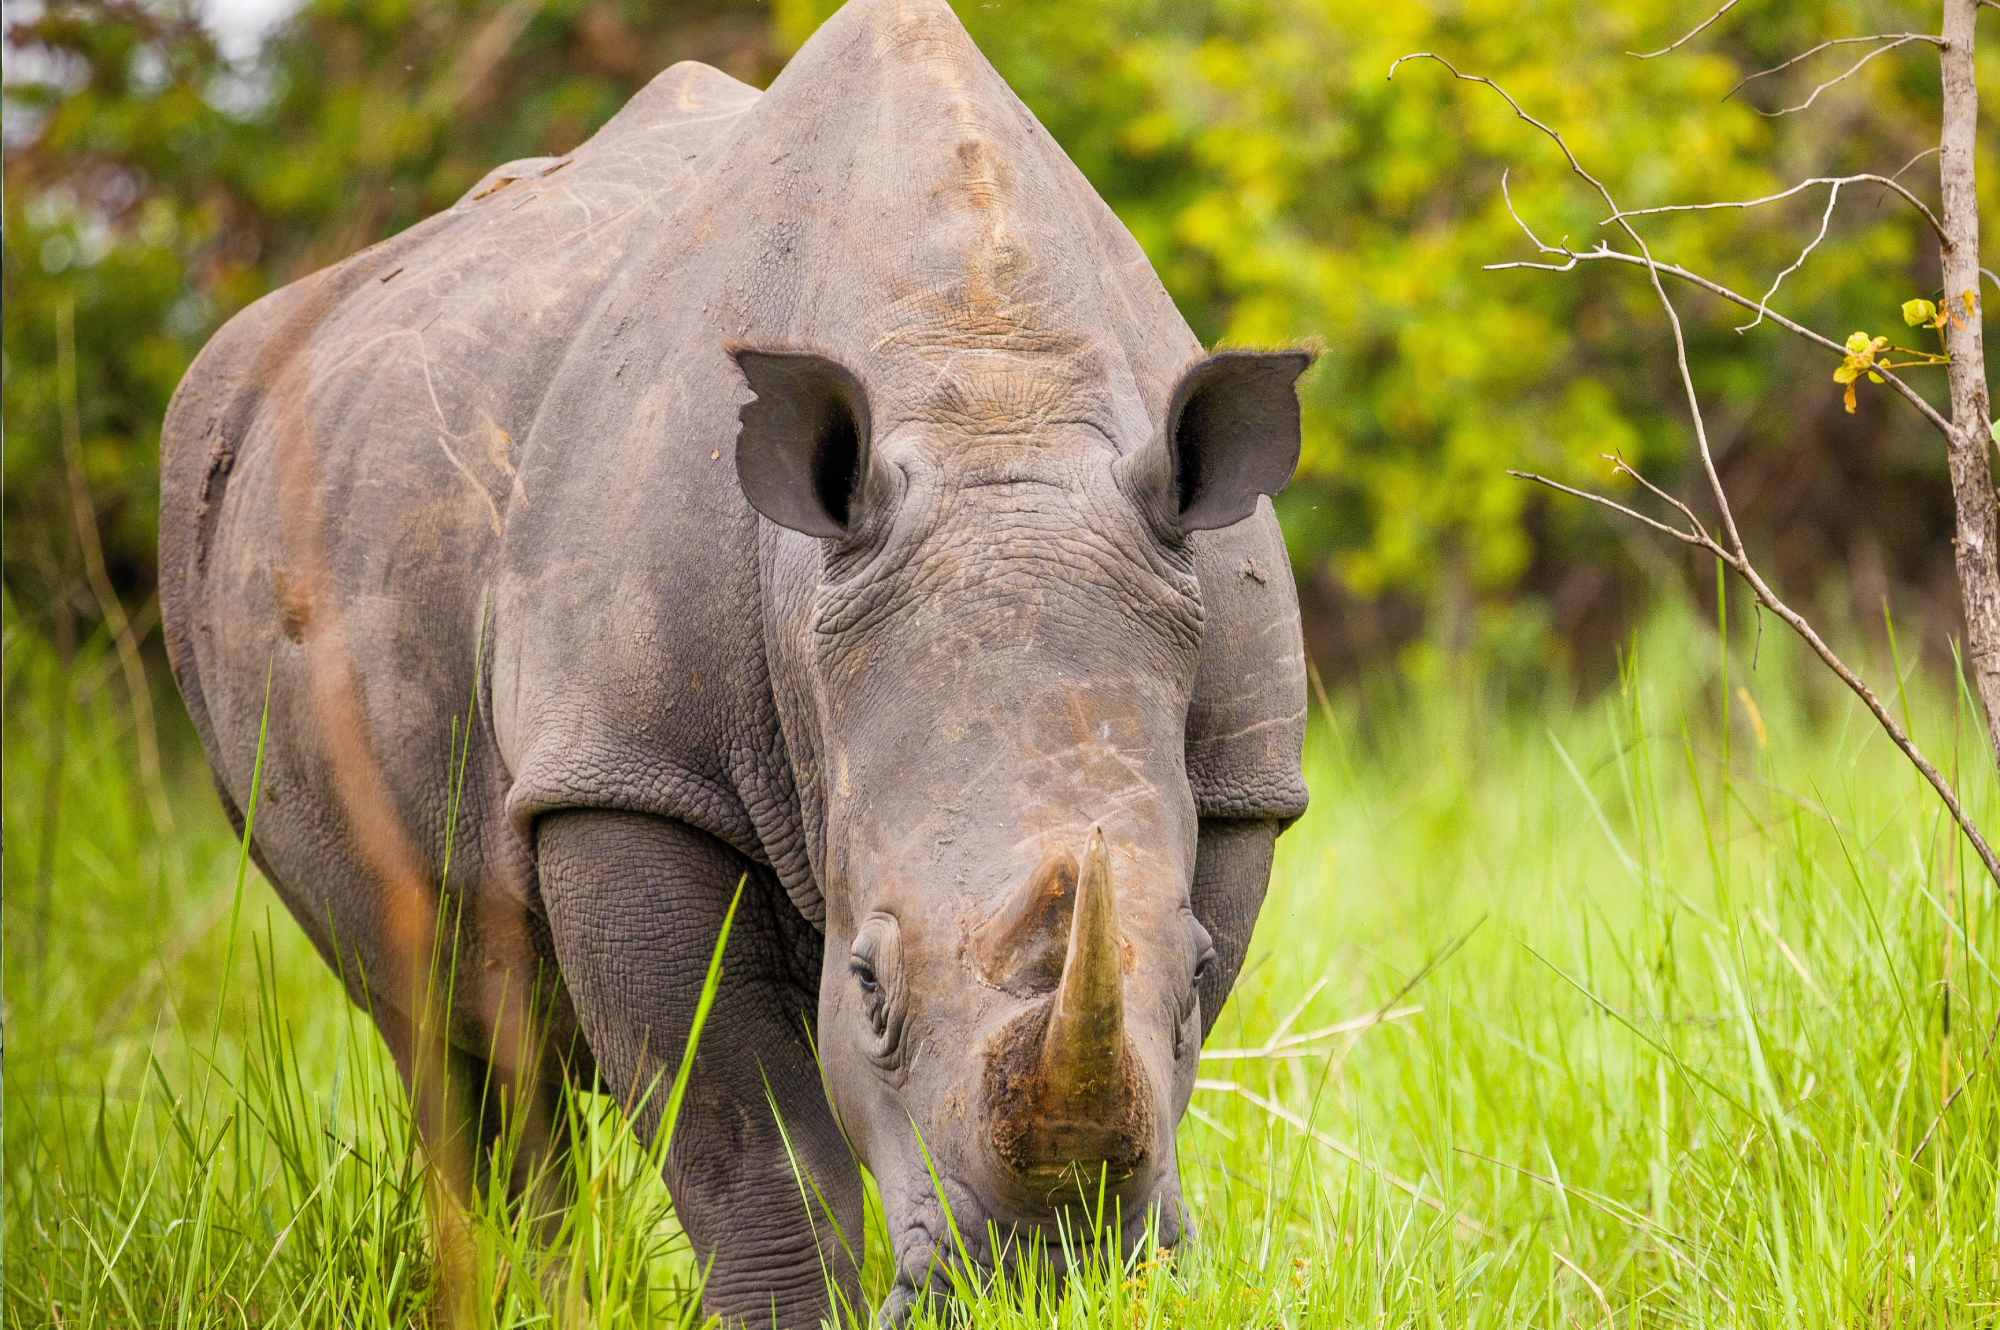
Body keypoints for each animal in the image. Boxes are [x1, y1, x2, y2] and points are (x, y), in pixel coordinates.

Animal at [158, 0, 1311, 1322]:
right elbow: (749, 1143)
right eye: (868, 987)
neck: (990, 394)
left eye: (1195, 968)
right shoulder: (629, 767)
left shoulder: (1238, 781)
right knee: (443, 1030)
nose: (1043, 1279)